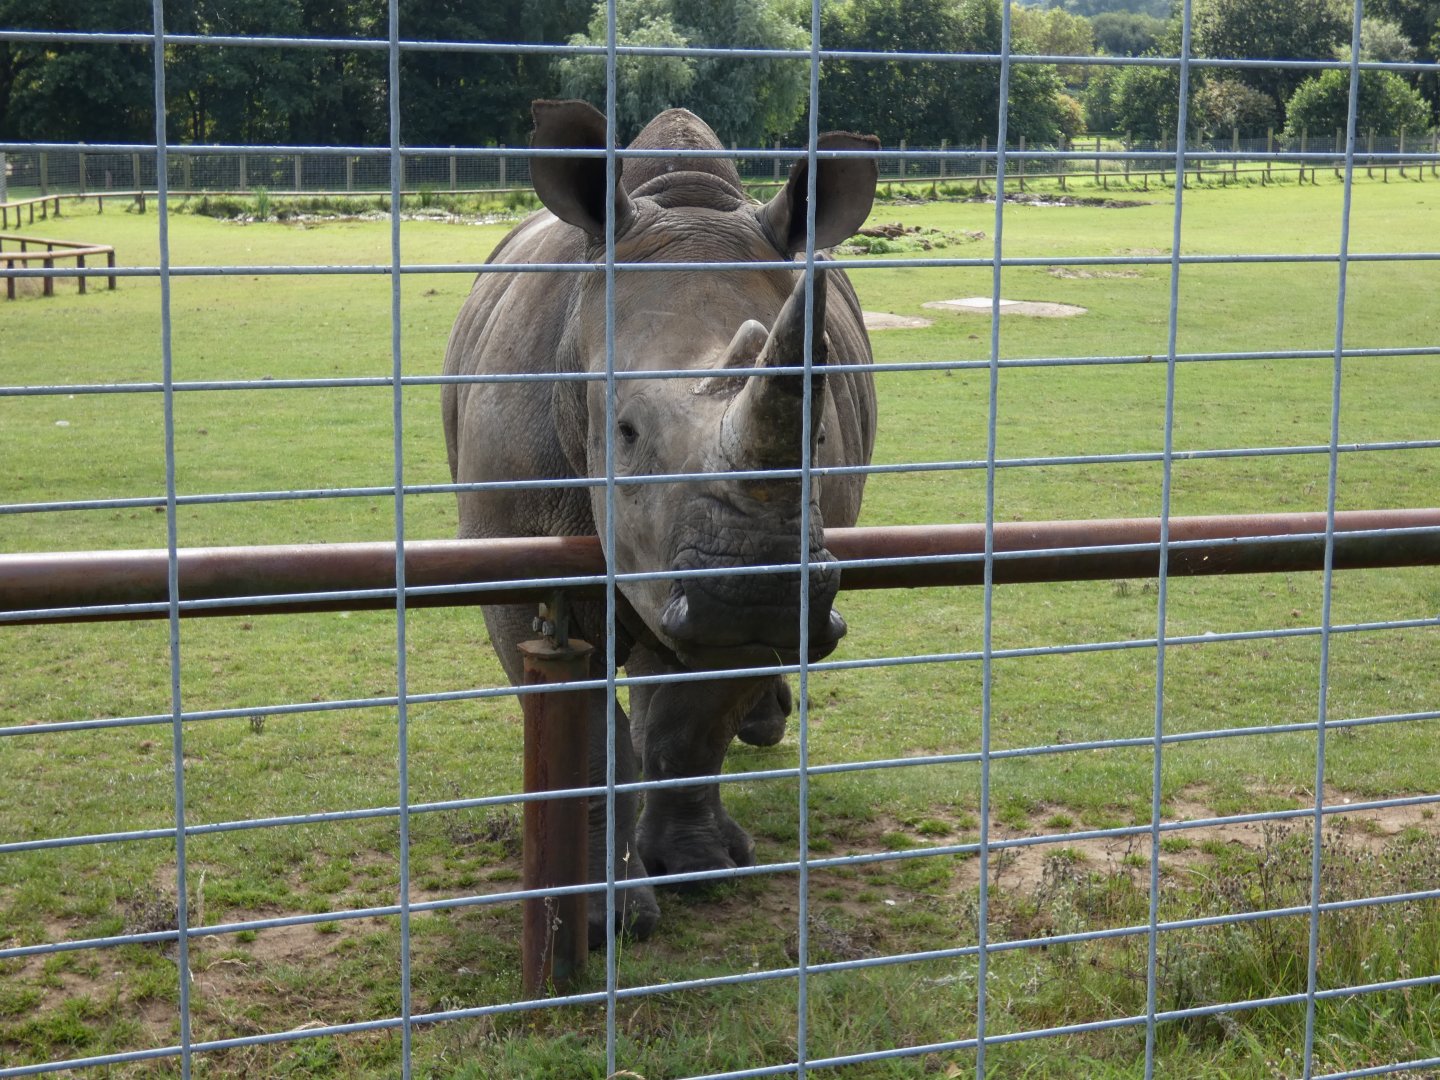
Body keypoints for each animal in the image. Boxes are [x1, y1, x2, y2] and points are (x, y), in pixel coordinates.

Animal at [442, 100, 878, 945]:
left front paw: (697, 869)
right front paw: (603, 921)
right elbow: (585, 738)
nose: (751, 589)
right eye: (625, 431)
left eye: (813, 434)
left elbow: (691, 720)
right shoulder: (513, 557)